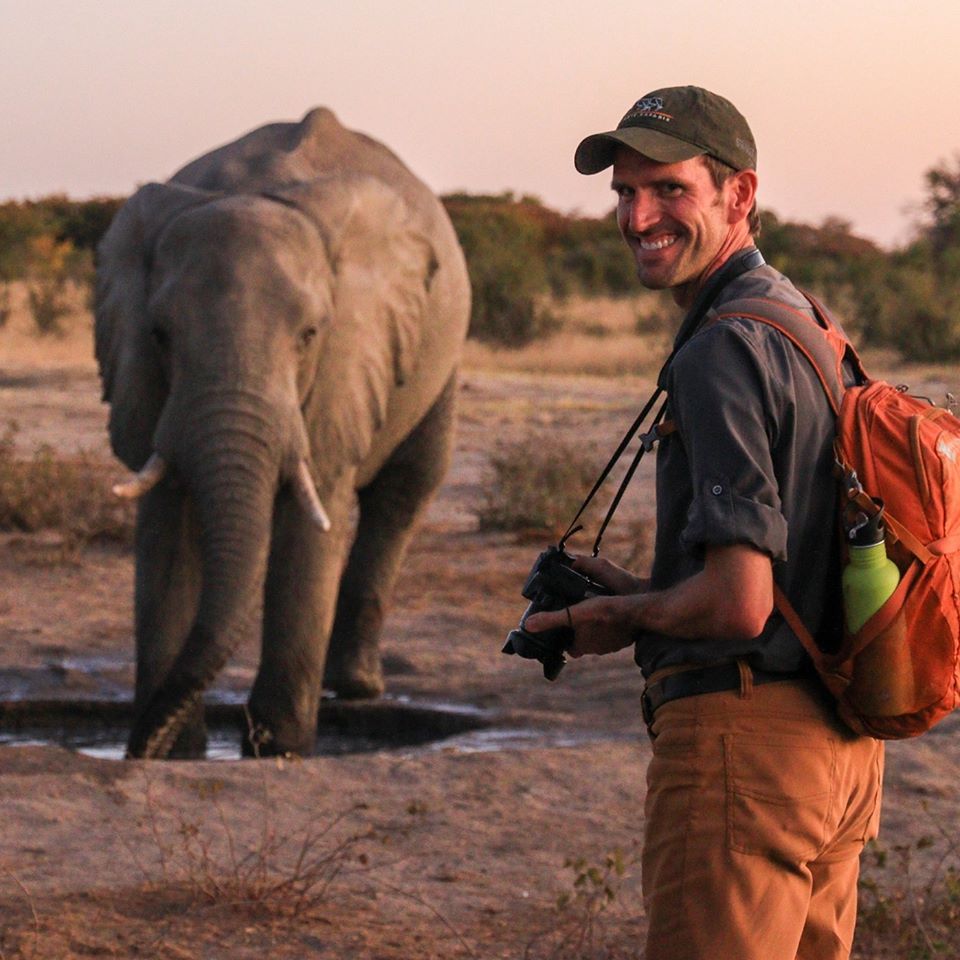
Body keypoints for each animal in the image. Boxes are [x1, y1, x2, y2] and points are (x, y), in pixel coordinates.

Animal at [94, 107, 470, 759]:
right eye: (160, 334)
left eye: (310, 335)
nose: (136, 747)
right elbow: (166, 532)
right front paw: (176, 753)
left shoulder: (349, 357)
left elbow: (311, 522)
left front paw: (279, 751)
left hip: (439, 349)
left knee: (405, 490)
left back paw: (358, 686)